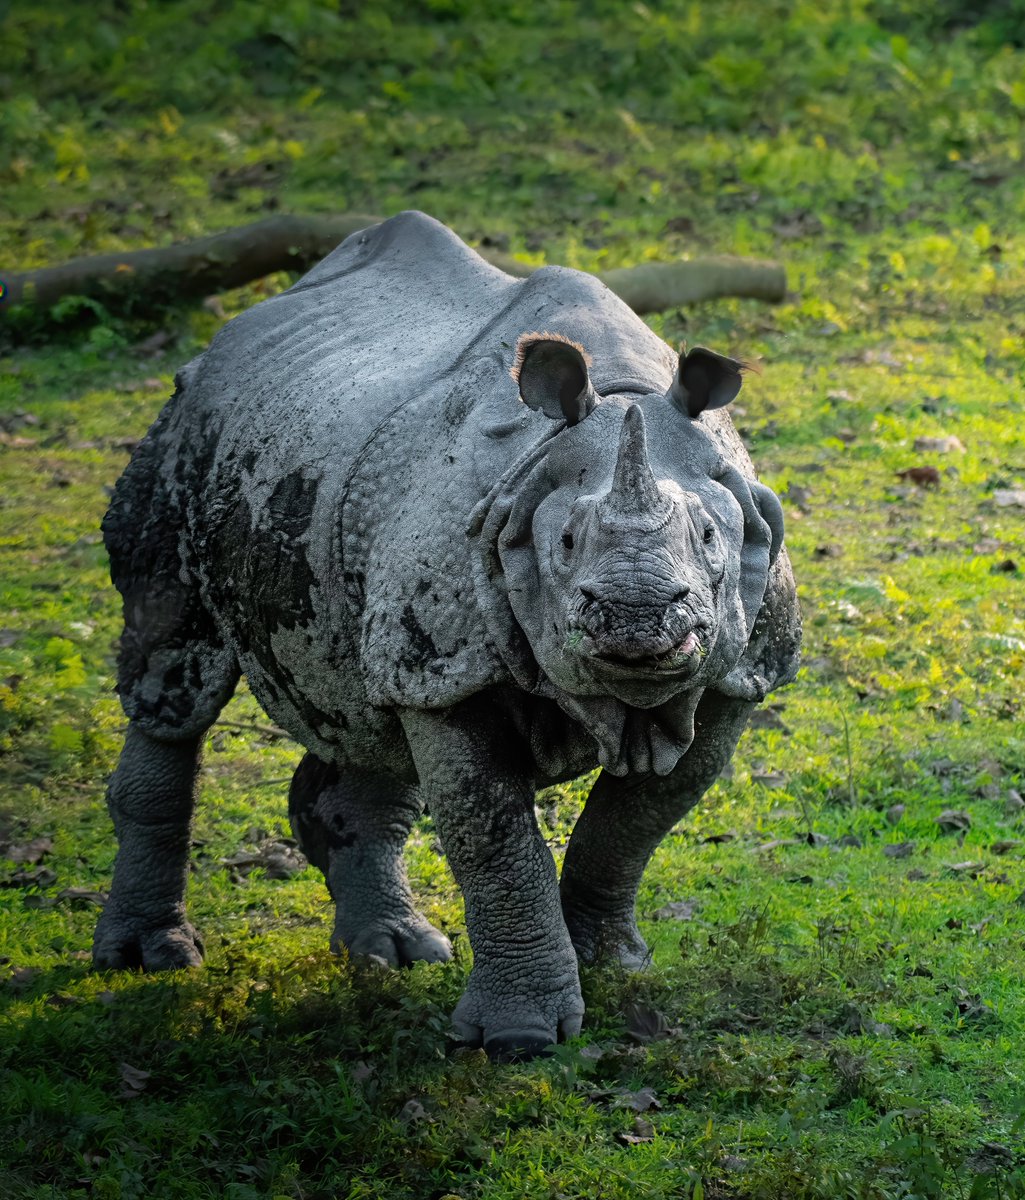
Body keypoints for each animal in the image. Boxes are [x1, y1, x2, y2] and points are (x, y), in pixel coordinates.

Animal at [93, 211, 800, 1059]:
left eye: (707, 535)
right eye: (566, 544)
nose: (636, 618)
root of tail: (245, 325)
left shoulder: (740, 671)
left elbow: (634, 824)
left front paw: (611, 969)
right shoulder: (449, 659)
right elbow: (490, 835)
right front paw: (518, 1040)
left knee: (366, 707)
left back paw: (393, 955)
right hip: (188, 433)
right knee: (176, 672)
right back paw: (150, 960)